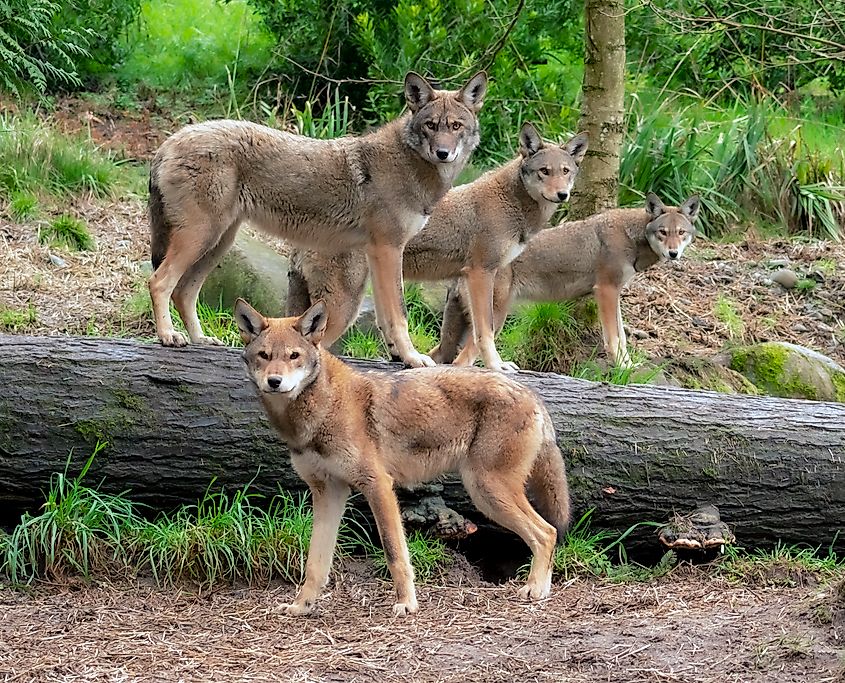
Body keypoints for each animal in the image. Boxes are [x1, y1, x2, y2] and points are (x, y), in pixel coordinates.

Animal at [147, 70, 487, 368]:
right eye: (431, 125)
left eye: (456, 126)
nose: (443, 153)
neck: (409, 166)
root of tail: (169, 141)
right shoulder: (389, 249)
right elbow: (399, 315)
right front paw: (414, 358)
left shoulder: (380, 254)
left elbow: (386, 317)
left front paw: (400, 357)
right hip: (202, 237)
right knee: (159, 282)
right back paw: (168, 335)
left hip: (219, 242)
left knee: (184, 291)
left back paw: (200, 339)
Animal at [234, 298, 570, 616]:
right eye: (264, 355)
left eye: (294, 356)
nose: (274, 382)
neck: (321, 410)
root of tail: (532, 394)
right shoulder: (328, 492)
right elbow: (315, 563)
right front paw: (301, 606)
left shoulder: (378, 485)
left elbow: (394, 551)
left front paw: (407, 603)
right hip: (487, 494)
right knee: (548, 532)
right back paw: (541, 588)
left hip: (487, 491)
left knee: (547, 532)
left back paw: (535, 589)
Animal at [286, 123, 588, 372]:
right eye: (544, 171)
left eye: (566, 172)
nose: (562, 195)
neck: (512, 202)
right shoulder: (481, 273)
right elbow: (485, 333)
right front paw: (496, 367)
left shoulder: (466, 282)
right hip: (344, 307)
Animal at [433, 193, 700, 367]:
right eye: (663, 232)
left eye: (681, 233)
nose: (673, 253)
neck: (631, 236)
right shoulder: (606, 290)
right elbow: (613, 338)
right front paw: (620, 367)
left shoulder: (615, 293)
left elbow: (623, 337)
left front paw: (629, 366)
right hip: (494, 321)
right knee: (462, 361)